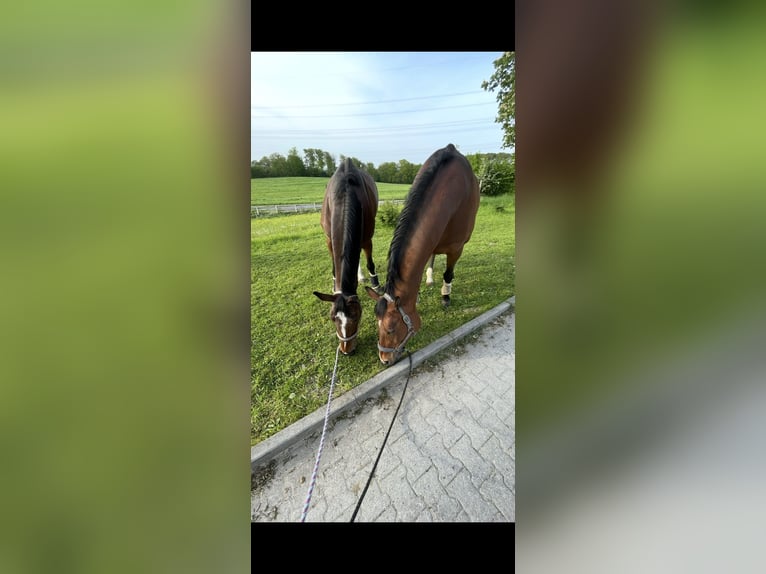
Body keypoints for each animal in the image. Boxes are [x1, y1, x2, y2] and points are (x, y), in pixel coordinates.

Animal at [313, 158, 382, 355]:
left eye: (357, 316)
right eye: (332, 318)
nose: (346, 350)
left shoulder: (366, 237)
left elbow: (370, 261)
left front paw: (375, 282)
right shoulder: (329, 239)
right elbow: (334, 266)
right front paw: (335, 282)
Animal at [366, 144, 480, 365]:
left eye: (391, 328)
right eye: (376, 324)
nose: (384, 359)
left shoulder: (457, 247)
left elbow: (448, 273)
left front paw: (446, 297)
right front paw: (418, 292)